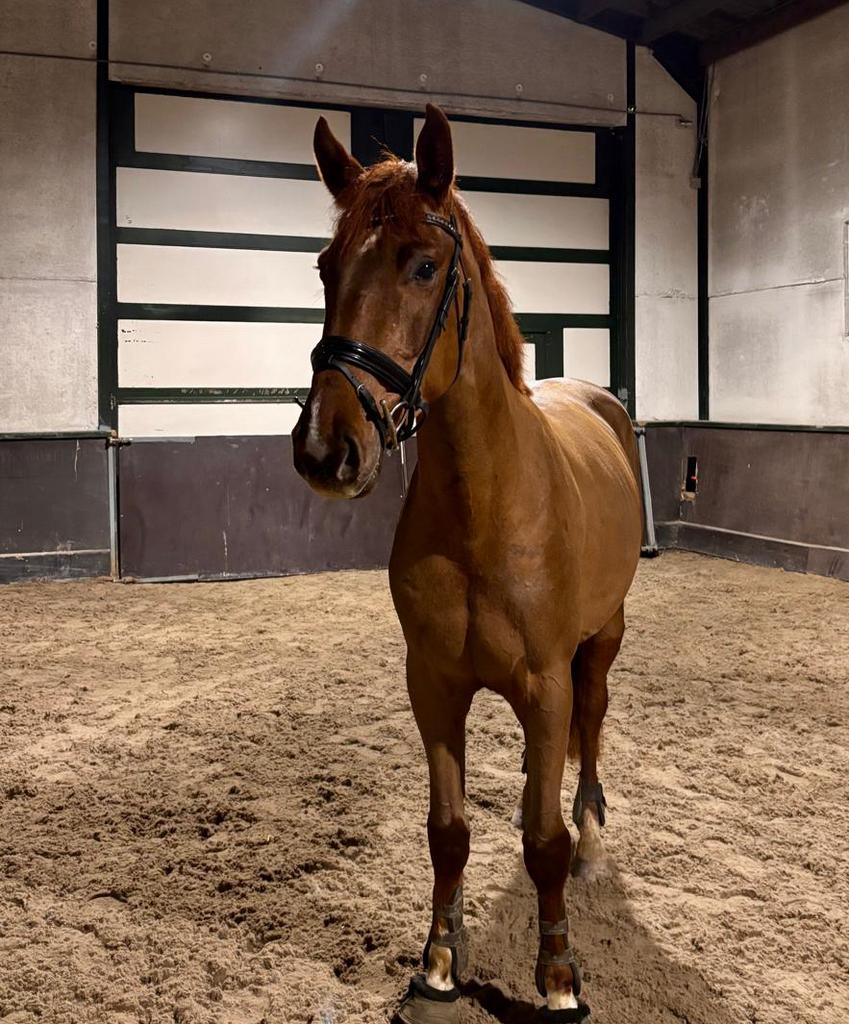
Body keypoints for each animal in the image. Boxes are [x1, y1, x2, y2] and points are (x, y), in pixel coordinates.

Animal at [292, 104, 642, 1023]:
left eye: (423, 264)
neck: (485, 506)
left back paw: (593, 835)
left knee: (591, 728)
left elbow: (545, 842)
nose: (325, 450)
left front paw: (558, 978)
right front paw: (440, 962)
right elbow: (447, 832)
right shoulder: (434, 684)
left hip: (601, 642)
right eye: (326, 267)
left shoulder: (547, 682)